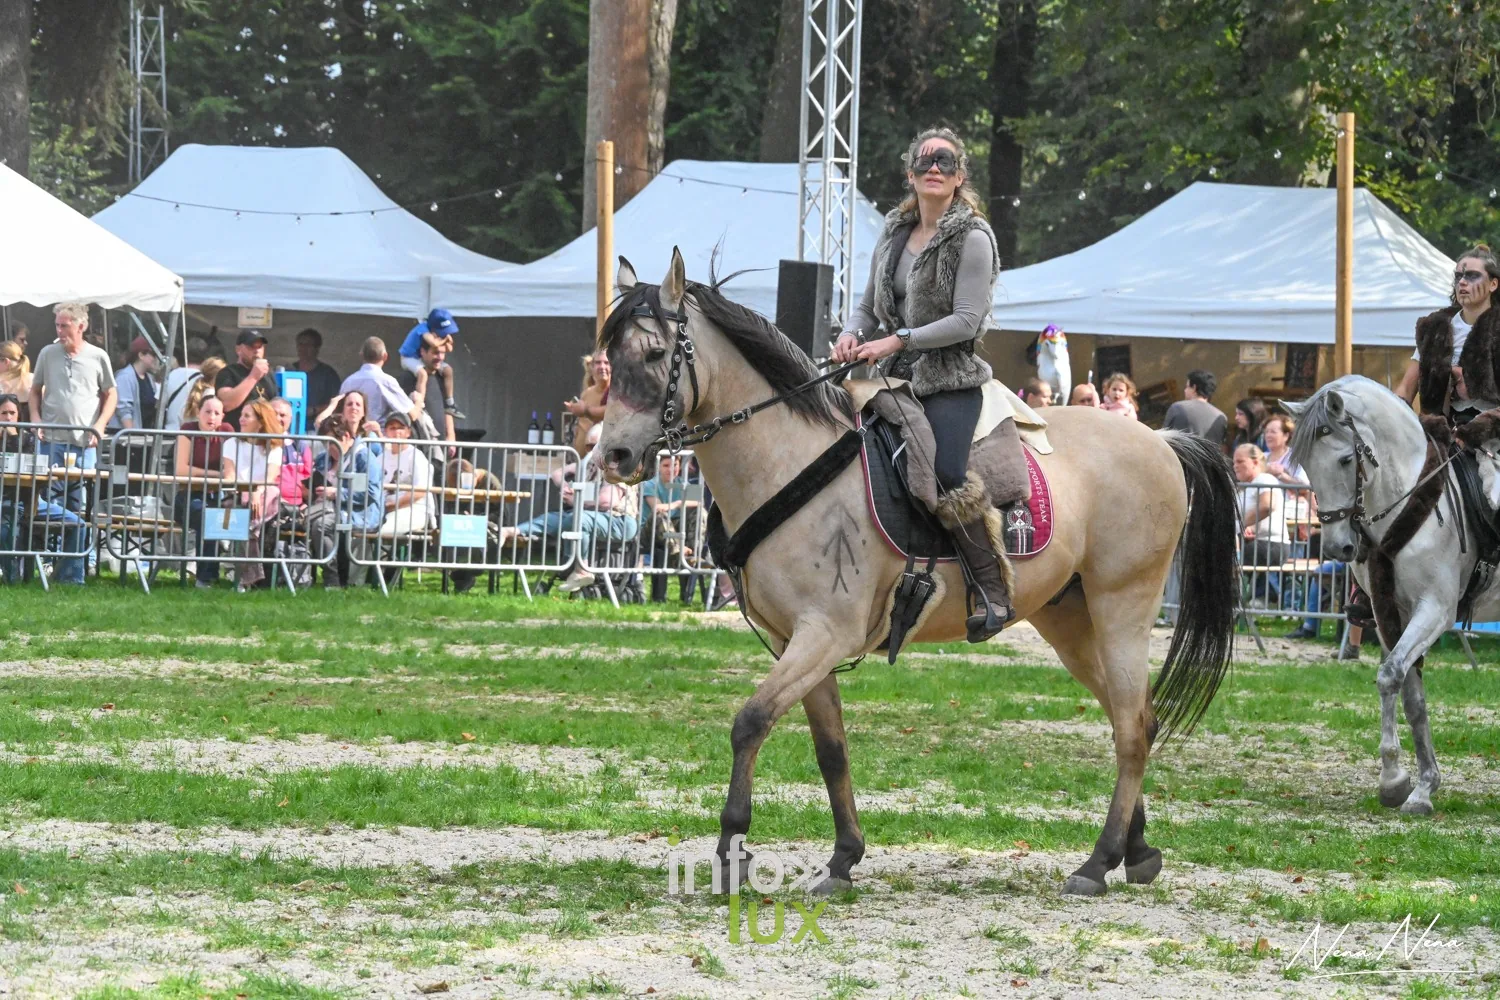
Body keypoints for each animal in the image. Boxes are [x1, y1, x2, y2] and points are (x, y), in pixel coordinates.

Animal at [596, 250, 1238, 896]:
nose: (612, 458)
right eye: (611, 357)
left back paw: (1098, 862)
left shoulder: (824, 634)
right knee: (1134, 719)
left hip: (1121, 608)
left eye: (654, 354)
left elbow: (750, 722)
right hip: (1071, 623)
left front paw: (731, 851)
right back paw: (1137, 849)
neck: (789, 461)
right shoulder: (795, 642)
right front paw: (843, 858)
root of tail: (1161, 439)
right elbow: (831, 749)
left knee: (1131, 727)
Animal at [1284, 375, 1500, 815]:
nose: (1337, 549)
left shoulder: (1435, 610)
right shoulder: (1389, 614)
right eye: (1307, 467)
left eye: (1345, 460)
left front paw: (1395, 778)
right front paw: (1416, 785)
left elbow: (1388, 676)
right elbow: (1409, 692)